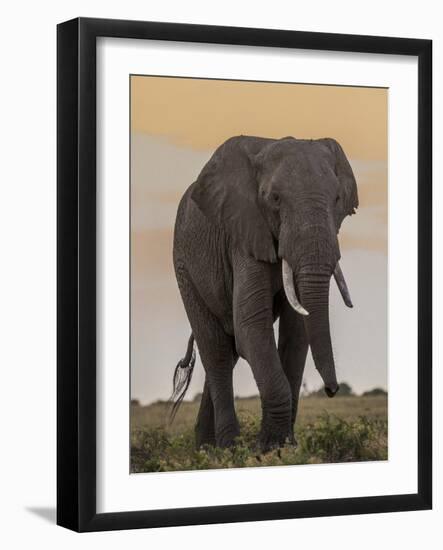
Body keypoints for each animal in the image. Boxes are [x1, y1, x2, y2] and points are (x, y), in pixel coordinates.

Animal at [169, 135, 358, 452]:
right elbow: (251, 325)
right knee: (217, 351)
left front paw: (285, 448)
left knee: (225, 351)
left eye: (336, 200)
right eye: (275, 199)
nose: (332, 390)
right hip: (184, 267)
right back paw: (227, 449)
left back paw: (207, 450)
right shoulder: (243, 235)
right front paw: (268, 450)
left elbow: (296, 335)